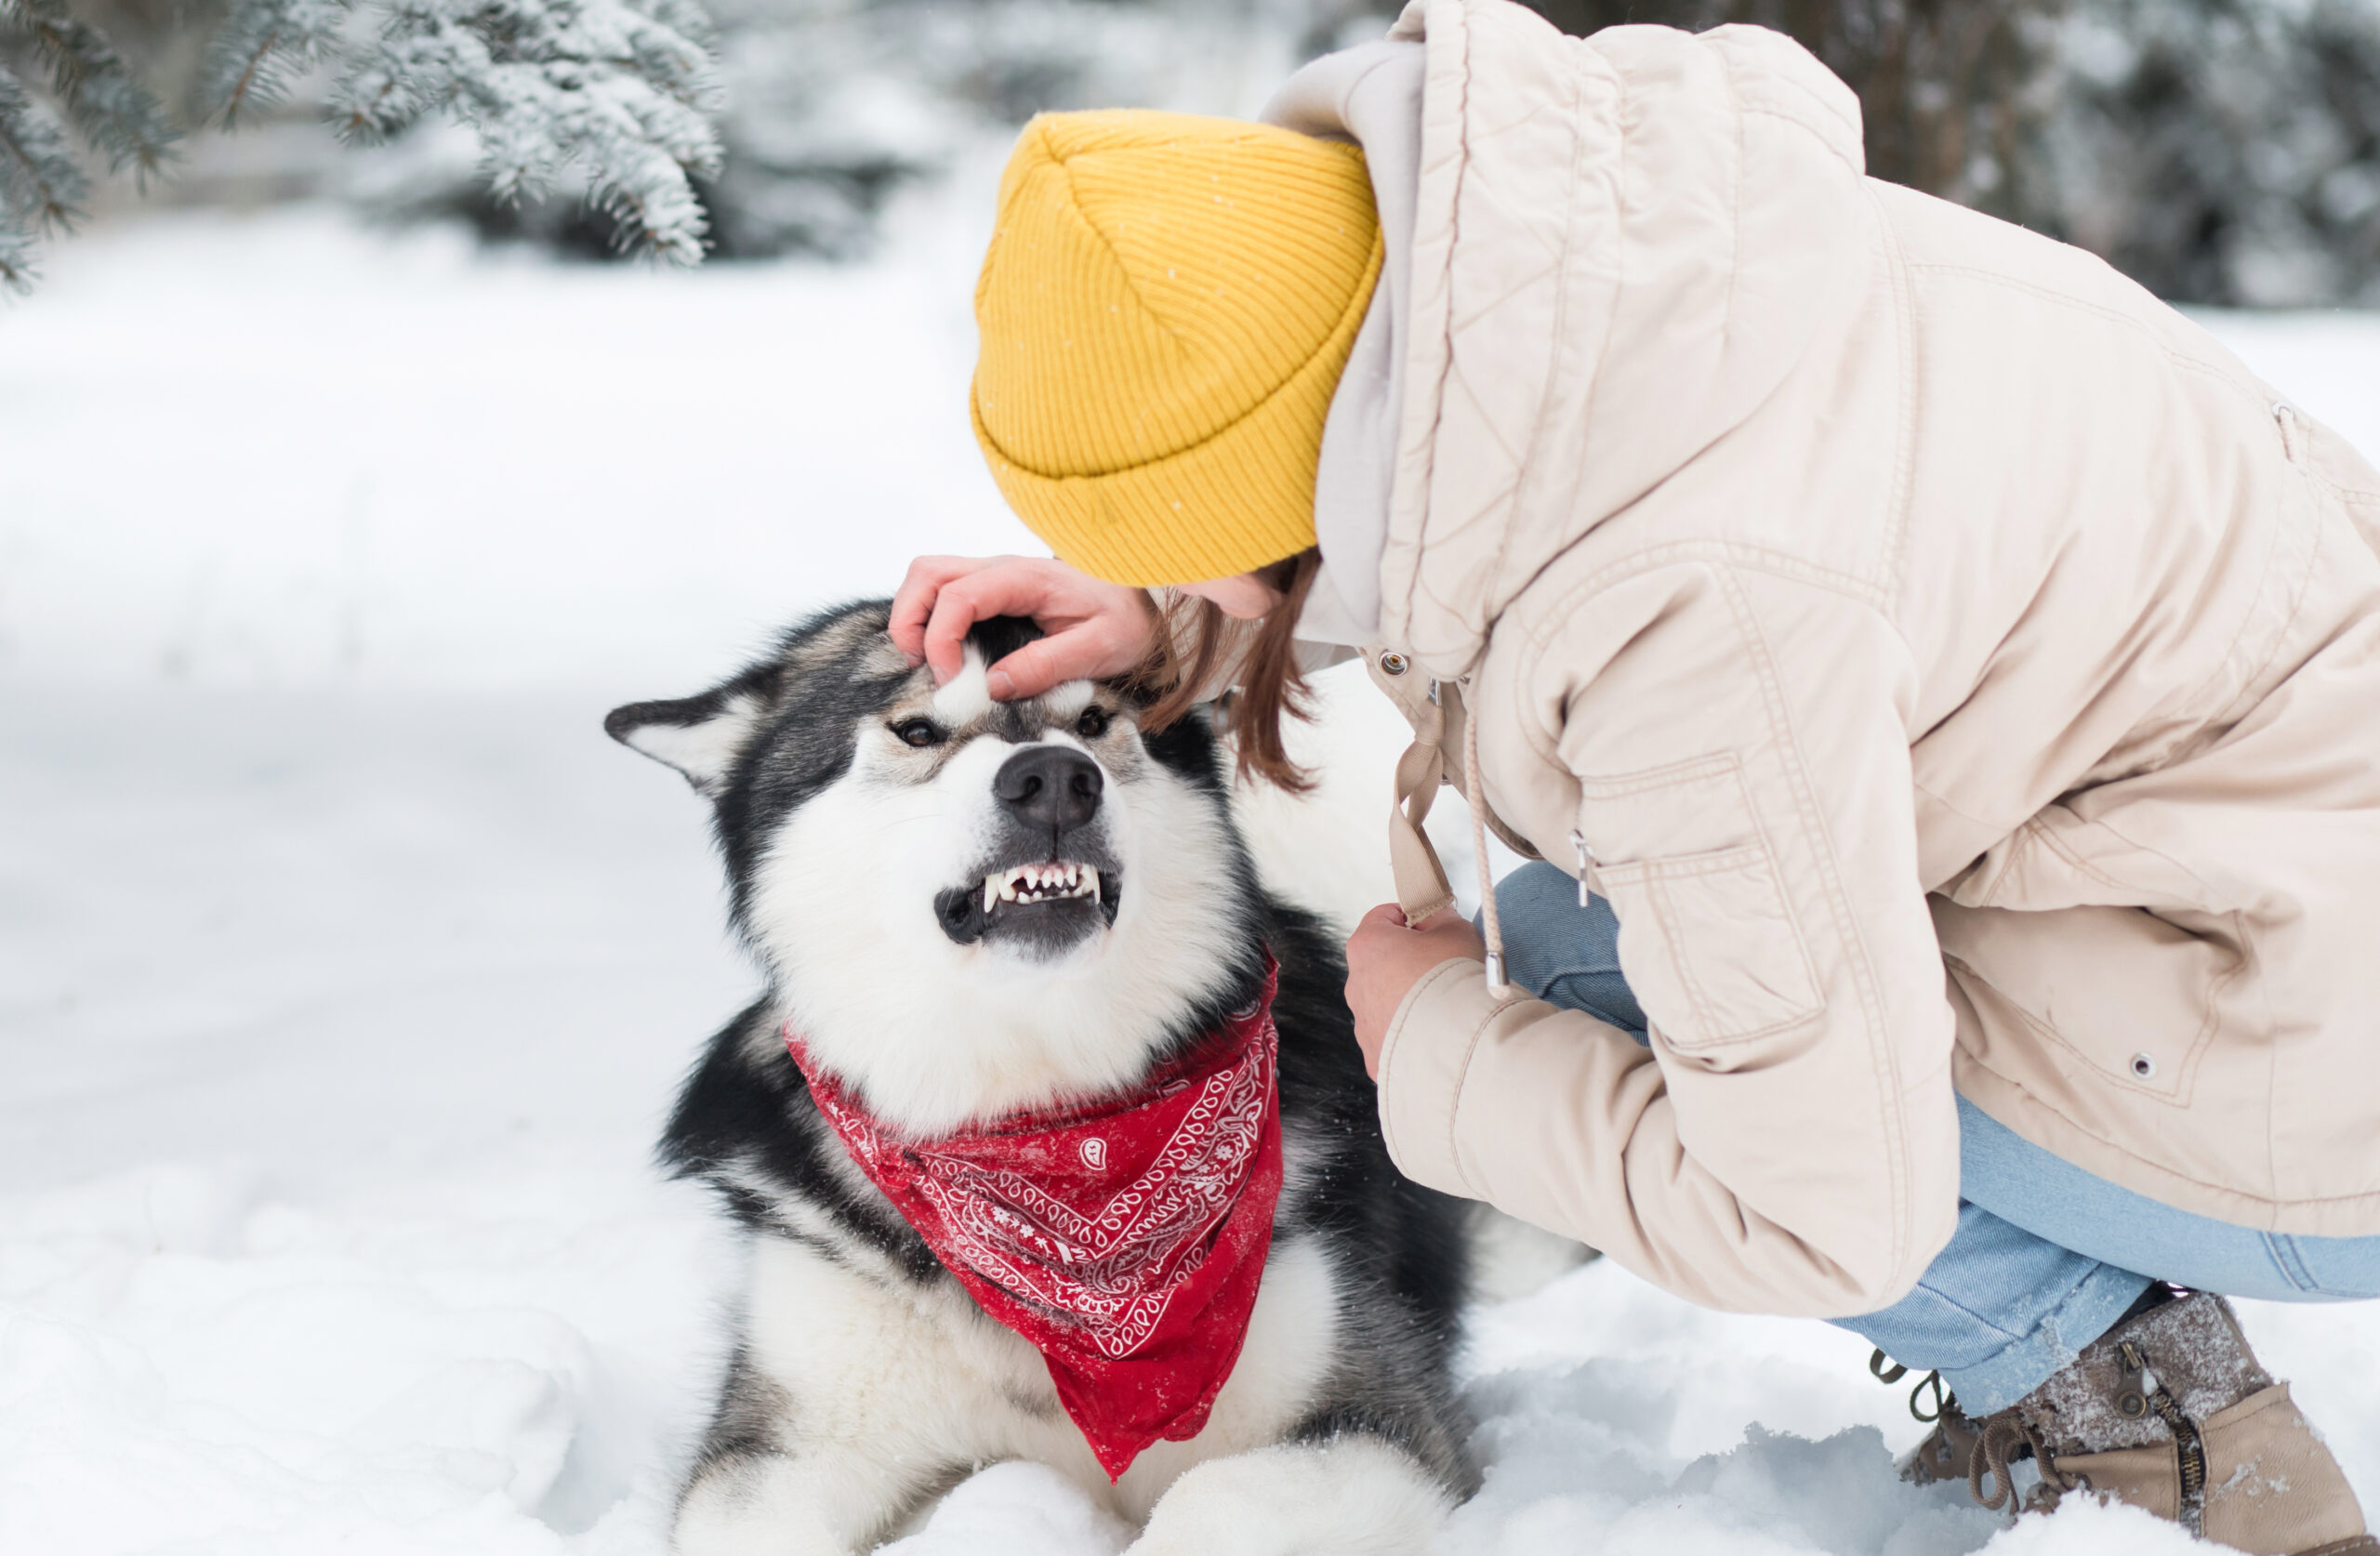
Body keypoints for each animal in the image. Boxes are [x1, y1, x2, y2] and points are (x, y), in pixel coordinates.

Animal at [604, 606, 1475, 1556]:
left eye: (1094, 722)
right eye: (917, 731)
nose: (1055, 779)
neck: (1033, 1106)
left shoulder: (1374, 1416)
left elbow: (1215, 1499)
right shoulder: (784, 1442)